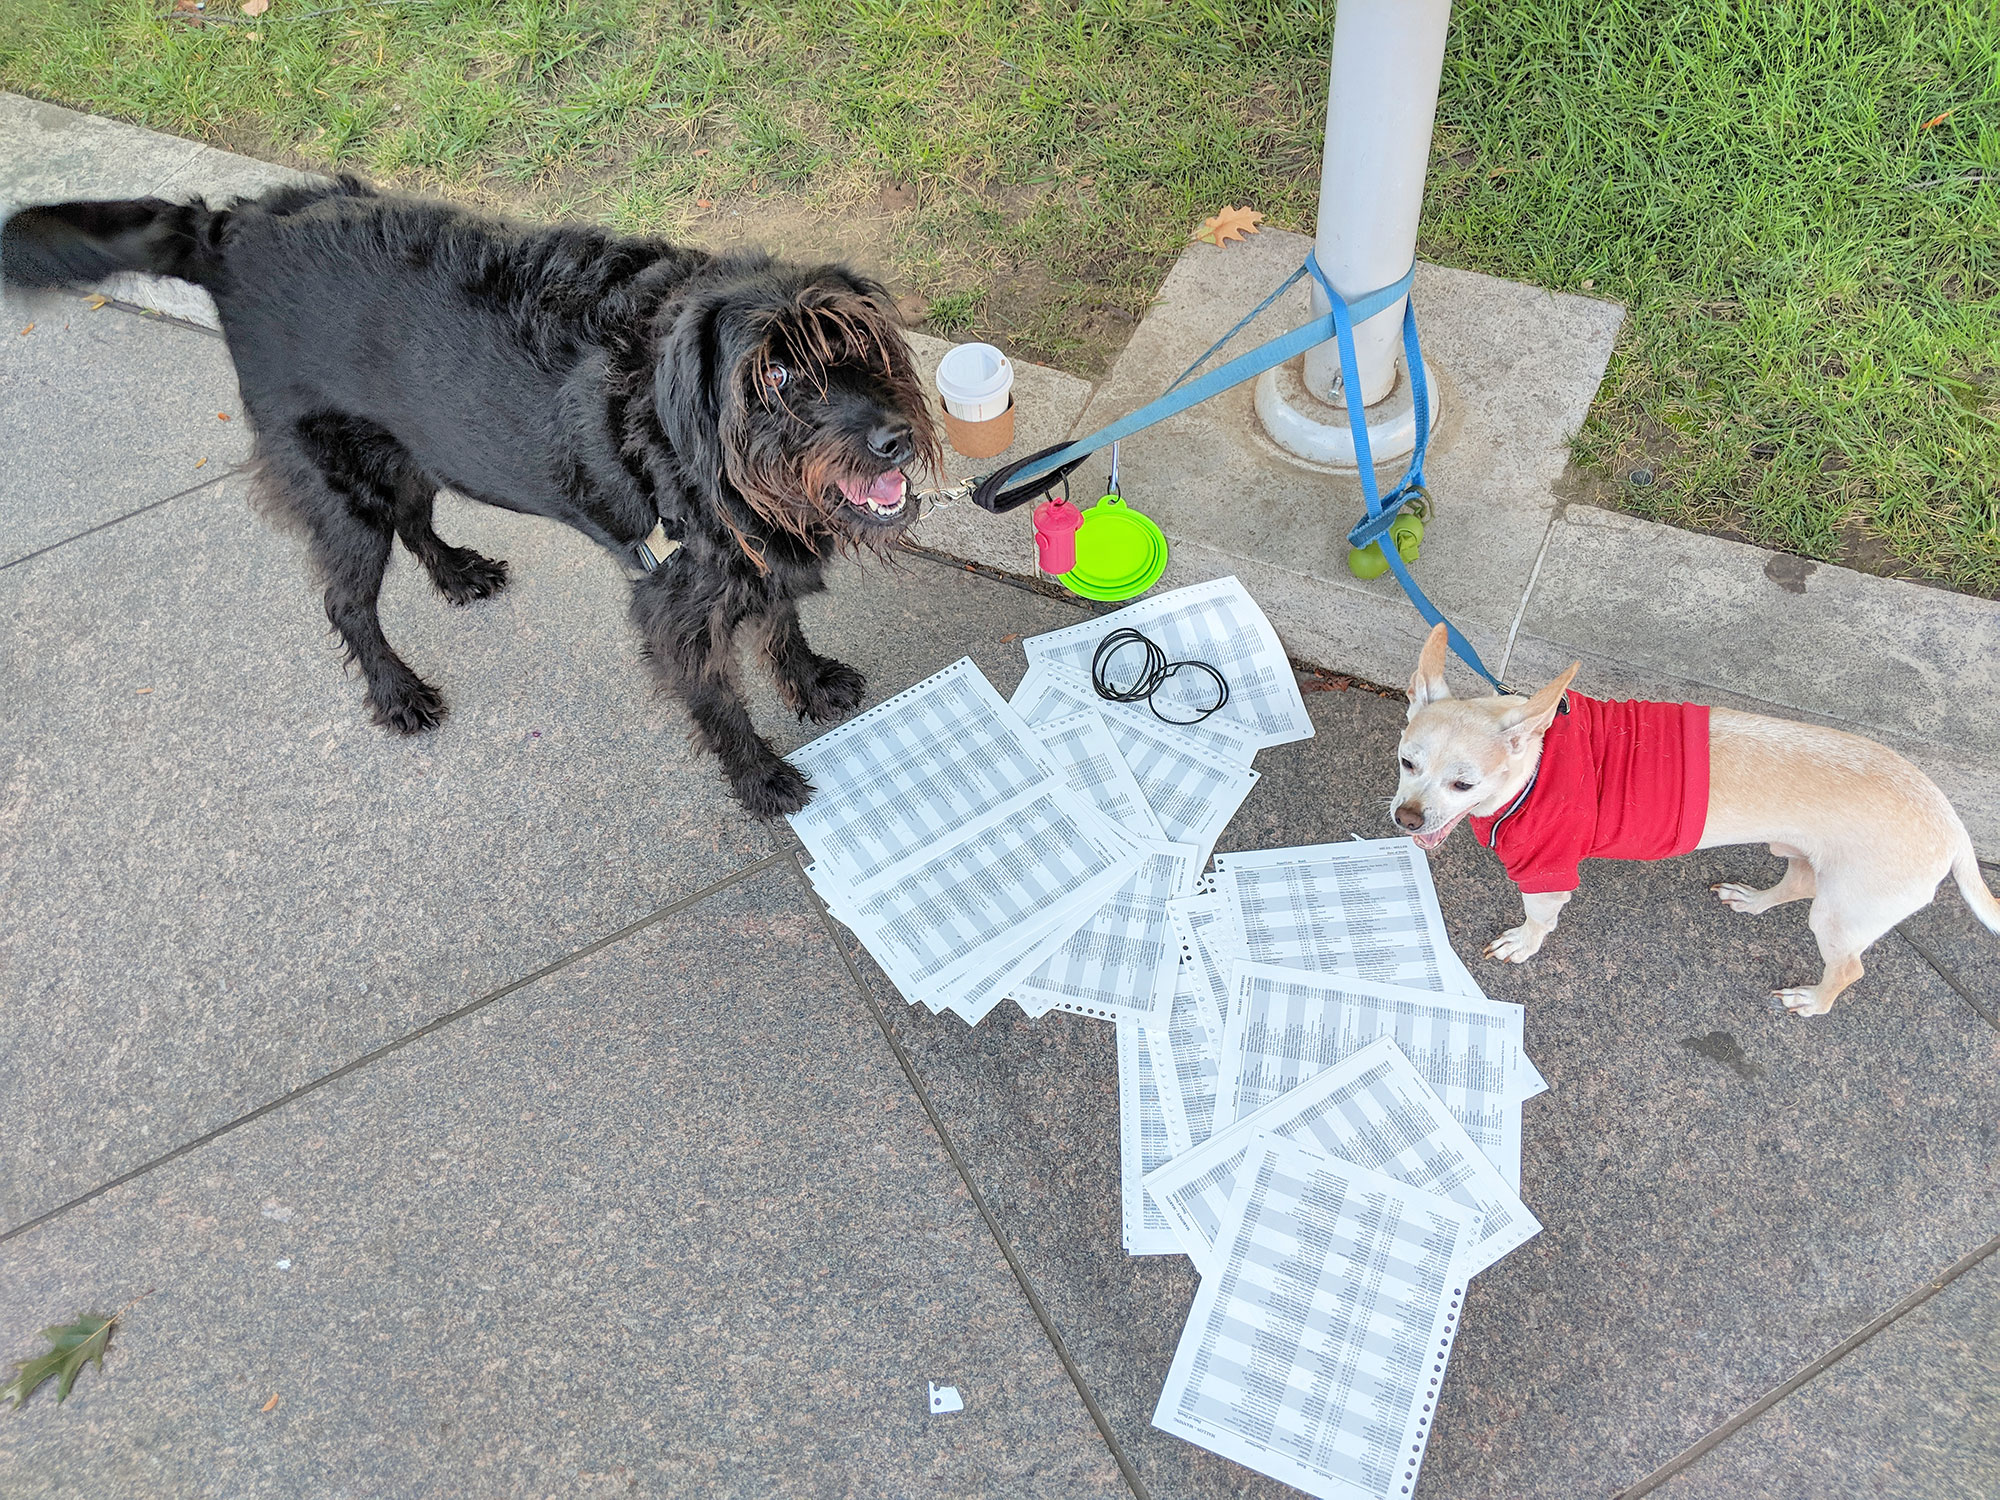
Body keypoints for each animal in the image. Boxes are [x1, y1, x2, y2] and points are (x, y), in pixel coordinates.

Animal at [3, 181, 940, 816]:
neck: (687, 439)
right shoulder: (675, 601)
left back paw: (456, 572)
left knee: (418, 521)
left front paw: (810, 679)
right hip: (342, 486)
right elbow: (718, 702)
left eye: (863, 343)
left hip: (409, 449)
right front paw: (759, 777)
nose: (893, 439)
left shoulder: (752, 559)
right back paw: (396, 694)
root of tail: (228, 230)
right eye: (775, 376)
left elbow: (781, 619)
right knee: (346, 602)